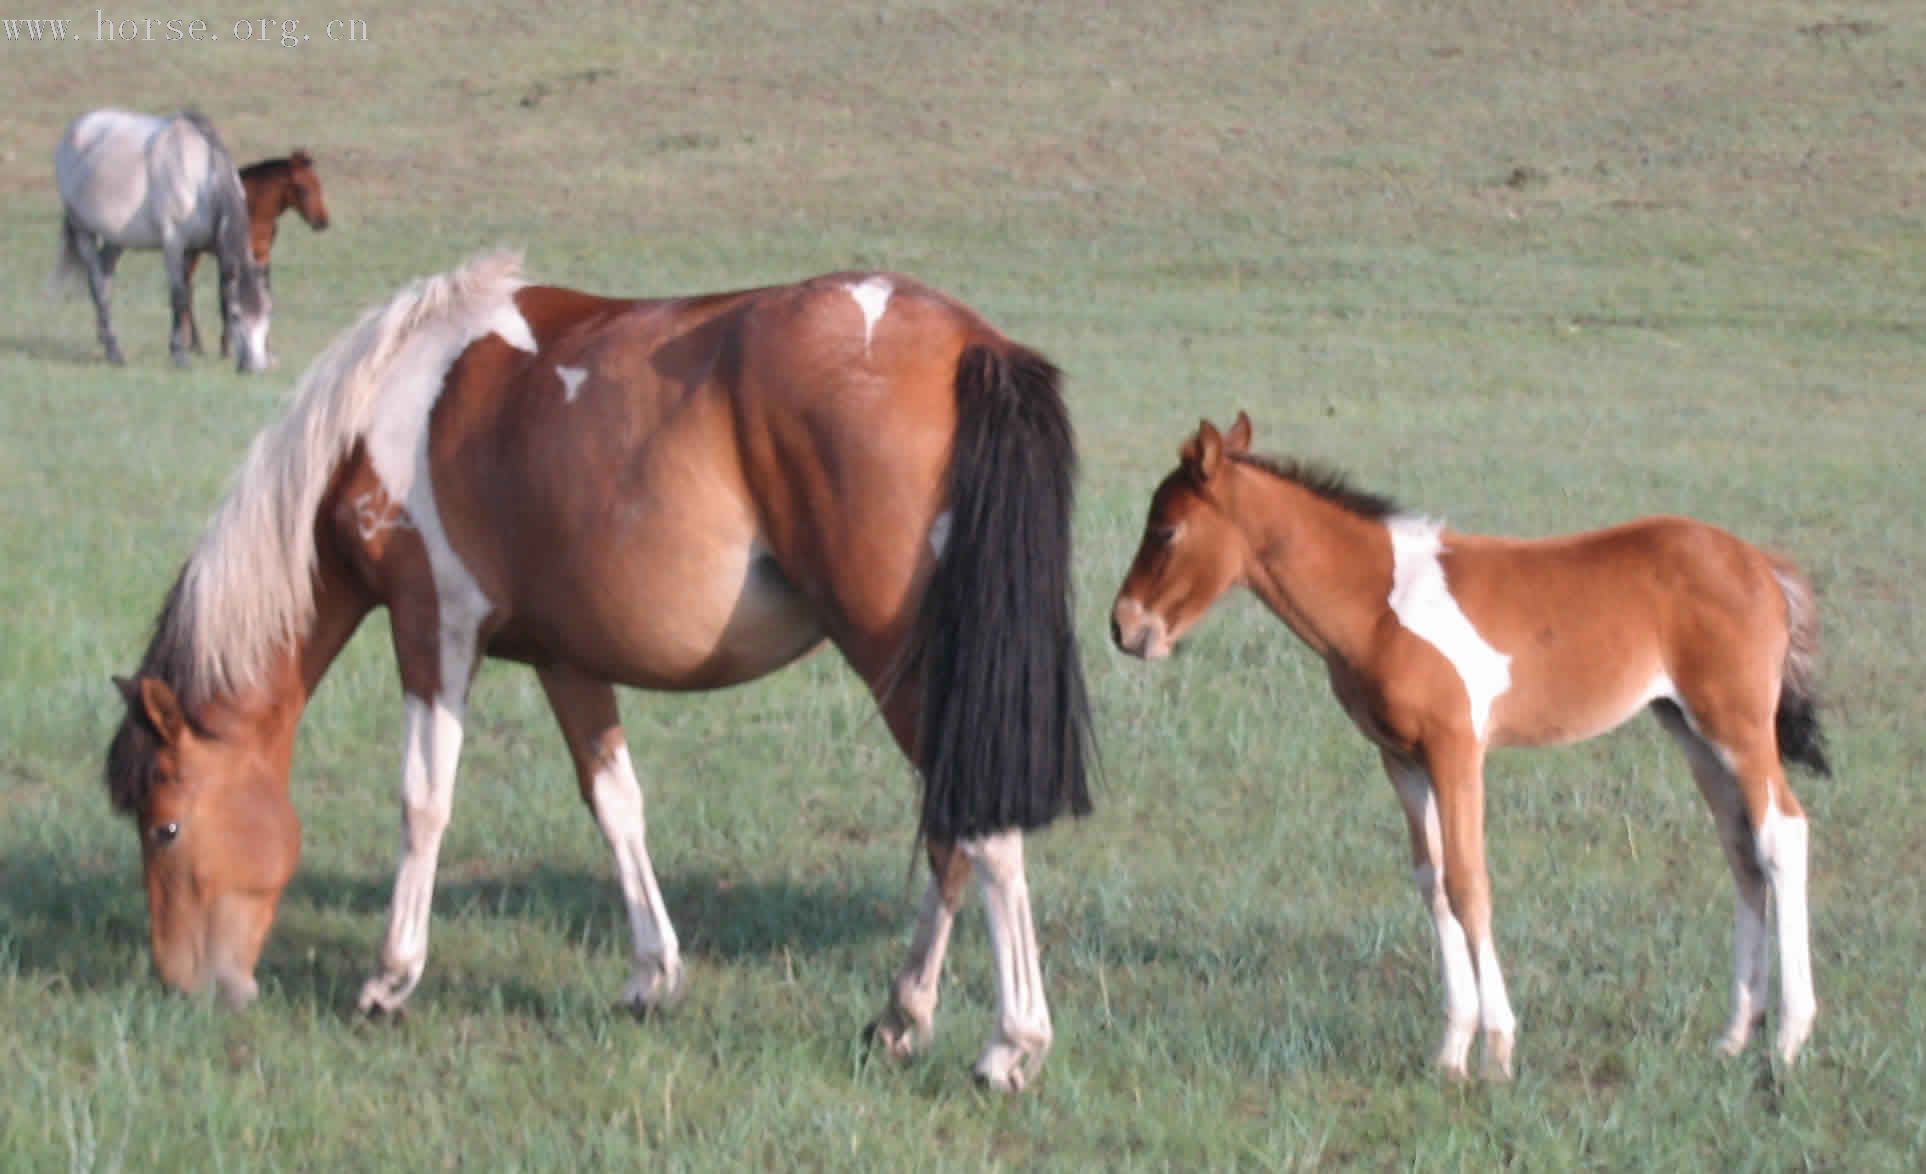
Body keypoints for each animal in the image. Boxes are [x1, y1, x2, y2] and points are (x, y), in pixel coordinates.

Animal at [55, 108, 273, 369]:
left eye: (267, 312)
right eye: (236, 315)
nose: (256, 367)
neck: (199, 180)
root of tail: (76, 127)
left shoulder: (203, 250)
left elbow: (206, 294)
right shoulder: (173, 244)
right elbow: (179, 295)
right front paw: (180, 353)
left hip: (115, 239)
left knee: (105, 281)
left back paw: (105, 340)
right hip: (83, 231)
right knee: (98, 285)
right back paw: (114, 351)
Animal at [105, 252, 1093, 1085]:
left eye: (166, 828)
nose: (187, 987)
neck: (383, 412)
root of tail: (970, 345)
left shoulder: (432, 629)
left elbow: (425, 802)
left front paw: (390, 979)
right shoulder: (565, 659)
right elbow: (617, 804)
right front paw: (652, 975)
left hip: (905, 662)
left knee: (980, 832)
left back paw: (1011, 1044)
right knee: (951, 835)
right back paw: (900, 1016)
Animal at [184, 152, 335, 361]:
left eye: (318, 184)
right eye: (302, 188)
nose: (322, 222)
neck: (254, 211)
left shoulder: (262, 256)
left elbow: (265, 297)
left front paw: (266, 349)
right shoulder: (232, 257)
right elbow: (227, 299)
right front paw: (226, 349)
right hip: (191, 252)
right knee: (187, 291)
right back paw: (196, 346)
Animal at [1109, 411, 1825, 1077]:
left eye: (1165, 530)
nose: (1124, 627)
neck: (1380, 605)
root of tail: (1762, 565)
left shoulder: (1456, 749)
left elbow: (1469, 882)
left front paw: (1498, 1048)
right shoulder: (1400, 758)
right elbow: (1432, 883)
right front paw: (1451, 1051)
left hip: (1737, 726)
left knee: (1781, 834)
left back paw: (1789, 1040)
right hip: (1690, 730)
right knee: (1740, 849)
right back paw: (1735, 1036)